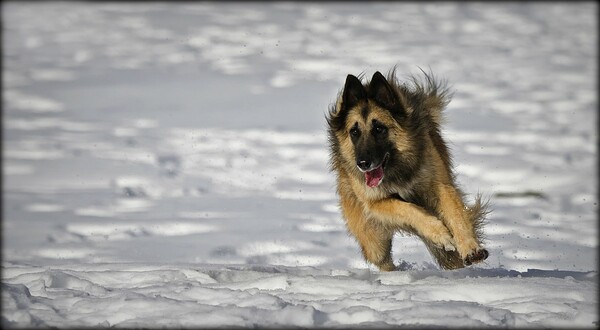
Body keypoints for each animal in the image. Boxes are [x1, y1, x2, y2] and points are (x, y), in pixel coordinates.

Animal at [328, 67, 488, 270]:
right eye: (354, 132)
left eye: (379, 129)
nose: (363, 164)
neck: (397, 169)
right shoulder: (375, 203)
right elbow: (408, 208)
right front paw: (440, 233)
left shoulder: (440, 186)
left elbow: (456, 215)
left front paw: (471, 248)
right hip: (374, 241)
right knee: (383, 260)